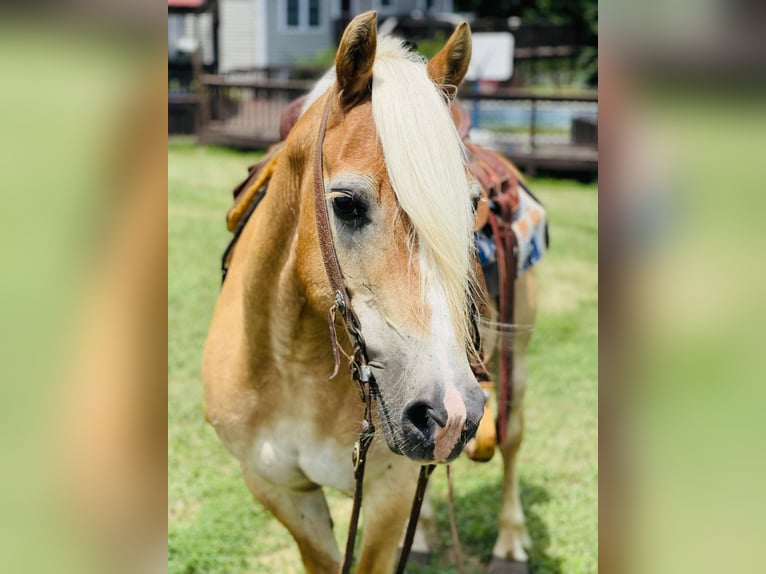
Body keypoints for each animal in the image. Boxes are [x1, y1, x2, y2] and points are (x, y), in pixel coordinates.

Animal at [204, 11, 540, 572]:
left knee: (513, 439)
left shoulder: (387, 494)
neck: (295, 366)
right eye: (345, 203)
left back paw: (510, 542)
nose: (450, 411)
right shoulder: (279, 490)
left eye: (472, 205)